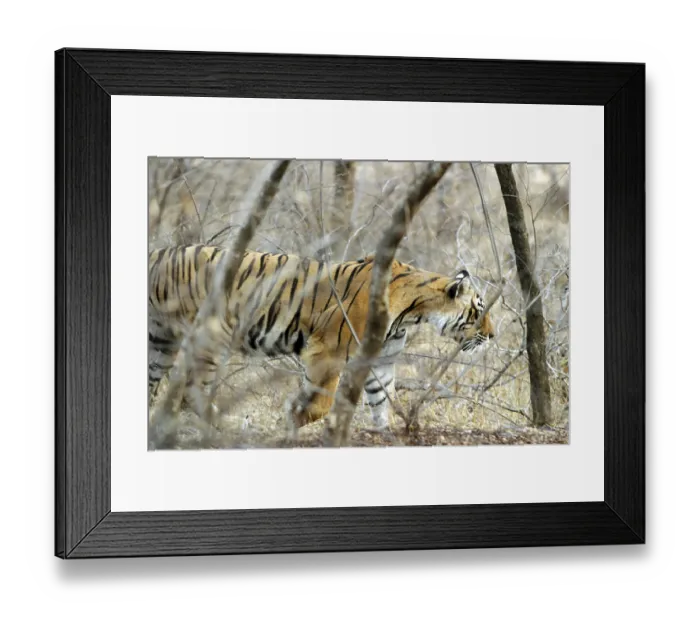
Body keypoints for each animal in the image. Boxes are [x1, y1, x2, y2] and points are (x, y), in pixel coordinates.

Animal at [148, 244, 496, 434]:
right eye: (478, 311)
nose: (492, 335)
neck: (411, 312)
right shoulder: (328, 352)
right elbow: (321, 403)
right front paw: (289, 420)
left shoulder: (380, 359)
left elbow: (381, 400)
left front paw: (384, 432)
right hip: (210, 337)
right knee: (191, 393)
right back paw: (233, 426)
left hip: (159, 342)